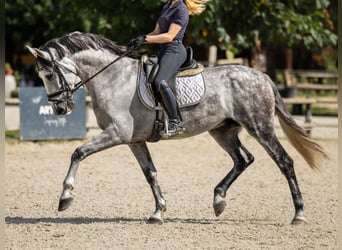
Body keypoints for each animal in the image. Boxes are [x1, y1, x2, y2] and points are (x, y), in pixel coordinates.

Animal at [26, 31, 326, 225]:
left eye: (49, 74)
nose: (59, 109)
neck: (113, 78)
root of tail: (261, 75)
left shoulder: (116, 133)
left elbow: (78, 152)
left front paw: (65, 197)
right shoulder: (134, 140)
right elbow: (150, 173)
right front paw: (158, 211)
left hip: (260, 127)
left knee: (284, 161)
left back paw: (298, 214)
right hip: (222, 131)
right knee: (244, 159)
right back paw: (219, 200)